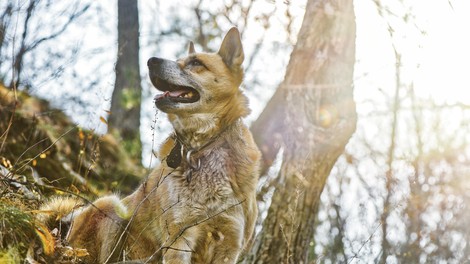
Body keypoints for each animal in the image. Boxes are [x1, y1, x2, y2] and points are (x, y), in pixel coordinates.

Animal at [40, 27, 260, 264]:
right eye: (179, 59)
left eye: (195, 63)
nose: (151, 60)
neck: (201, 148)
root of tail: (65, 227)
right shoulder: (179, 237)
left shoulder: (229, 246)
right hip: (112, 207)